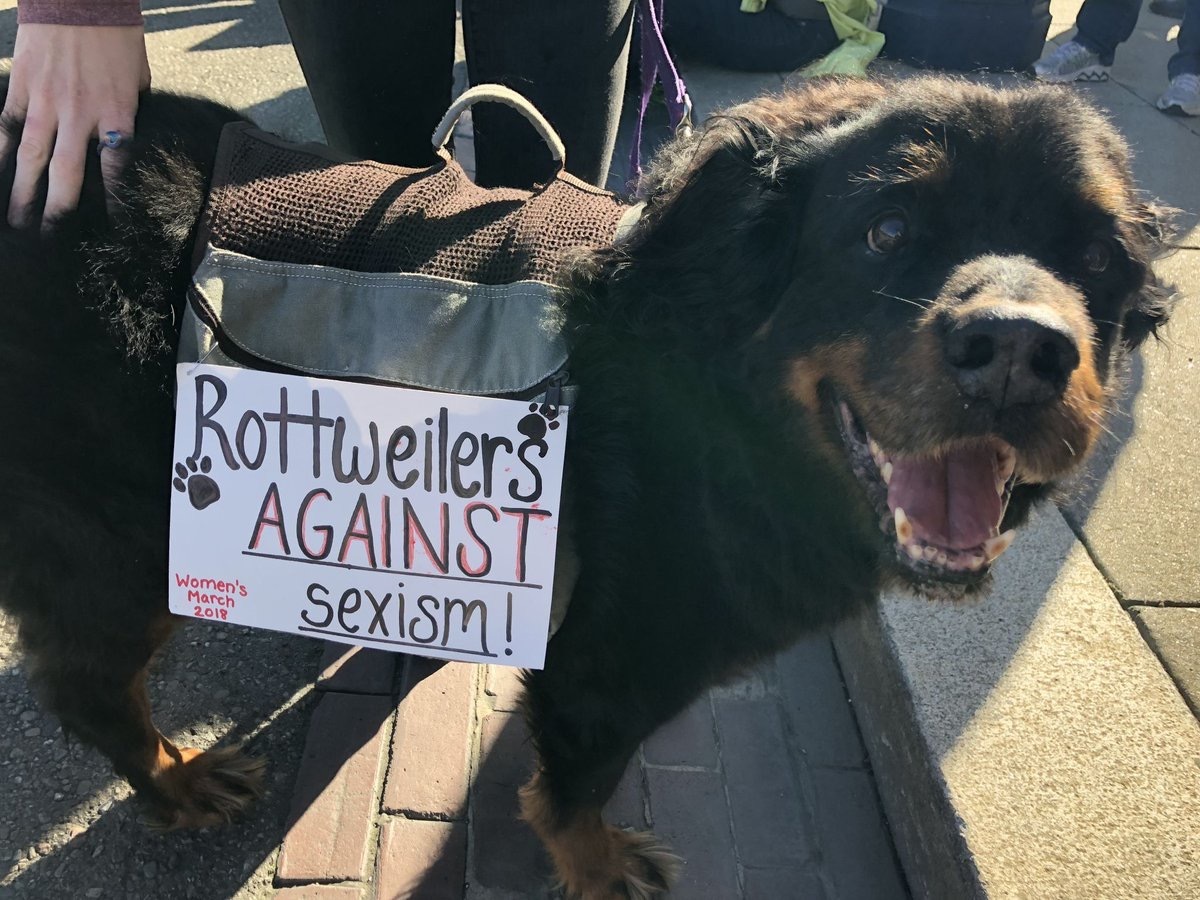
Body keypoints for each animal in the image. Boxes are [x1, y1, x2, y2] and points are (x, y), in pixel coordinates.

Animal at [0, 79, 1180, 900]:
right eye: (886, 231)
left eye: (1093, 259)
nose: (1022, 352)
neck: (710, 398)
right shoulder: (614, 660)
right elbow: (579, 779)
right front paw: (597, 861)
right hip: (119, 541)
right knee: (88, 687)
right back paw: (176, 778)